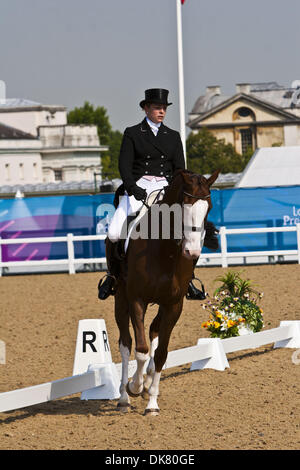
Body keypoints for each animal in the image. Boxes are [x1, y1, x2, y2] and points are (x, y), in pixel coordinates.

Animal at [112, 169, 218, 414]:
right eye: (185, 205)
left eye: (208, 207)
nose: (192, 251)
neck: (163, 249)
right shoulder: (137, 299)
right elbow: (140, 350)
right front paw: (135, 386)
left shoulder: (173, 304)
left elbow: (161, 353)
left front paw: (152, 402)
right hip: (121, 298)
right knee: (125, 343)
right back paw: (124, 397)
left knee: (153, 331)